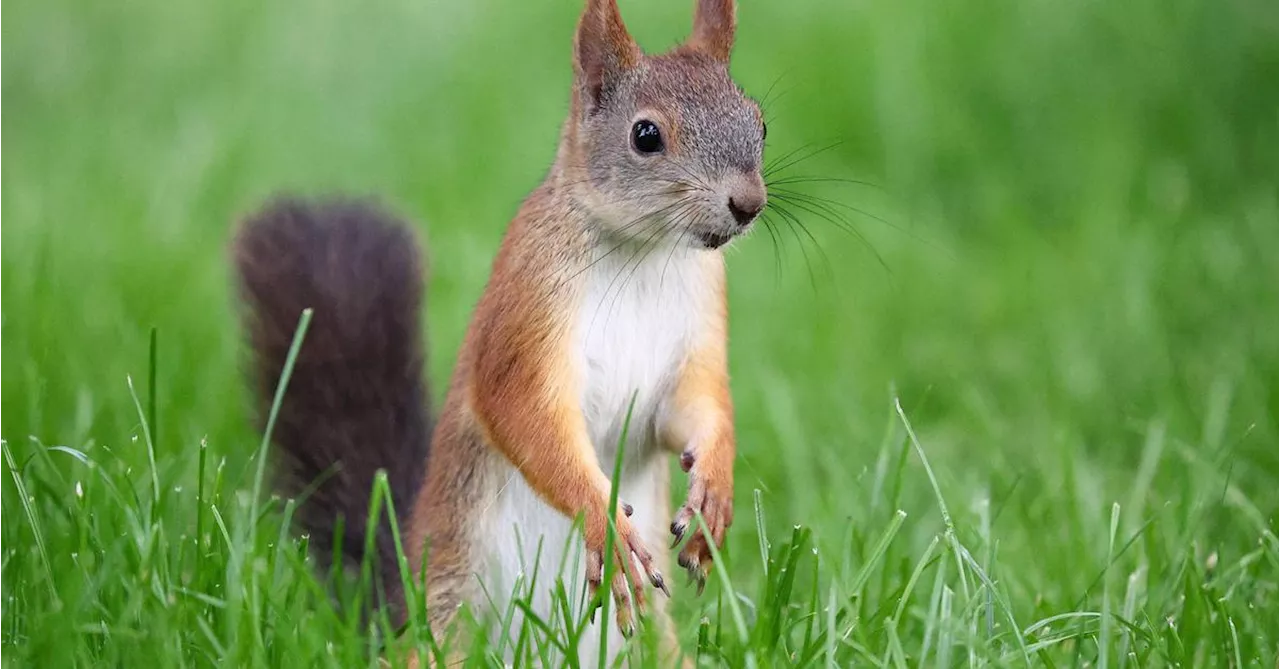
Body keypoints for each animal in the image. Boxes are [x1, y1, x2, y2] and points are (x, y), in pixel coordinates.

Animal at [231, 0, 768, 660]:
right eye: (646, 136)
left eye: (759, 123)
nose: (747, 204)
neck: (645, 254)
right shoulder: (527, 307)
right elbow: (520, 411)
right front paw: (604, 520)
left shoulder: (697, 329)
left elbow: (696, 408)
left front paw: (714, 491)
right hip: (446, 620)